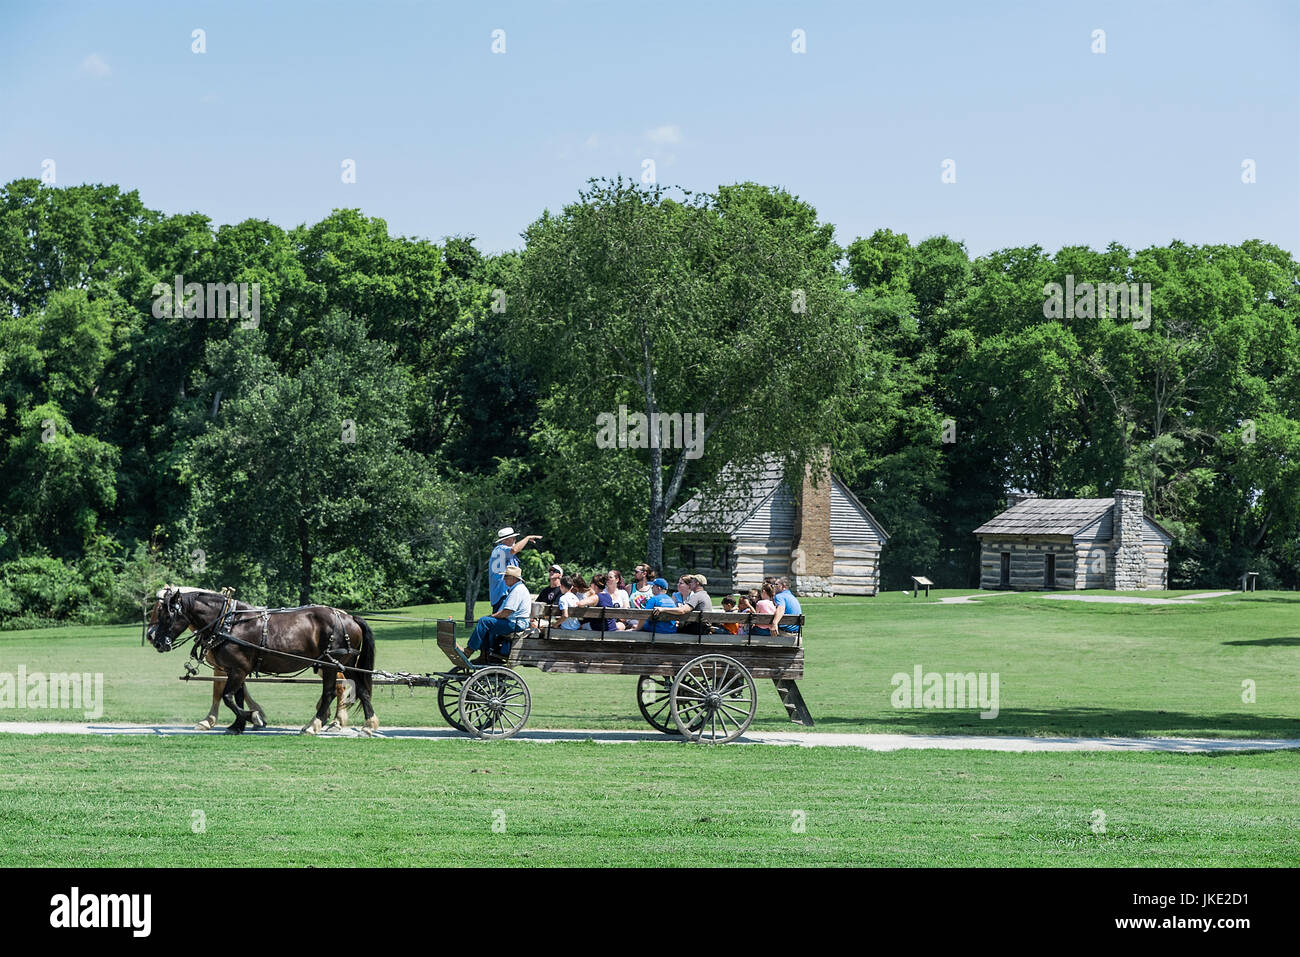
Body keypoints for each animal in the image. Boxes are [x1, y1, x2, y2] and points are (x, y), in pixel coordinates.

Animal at [150, 582, 379, 733]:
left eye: (166, 613)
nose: (154, 640)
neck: (228, 622)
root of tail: (349, 617)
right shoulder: (236, 669)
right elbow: (237, 696)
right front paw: (238, 725)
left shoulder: (238, 669)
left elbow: (227, 696)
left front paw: (253, 717)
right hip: (342, 664)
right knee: (356, 689)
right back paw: (365, 723)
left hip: (333, 664)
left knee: (334, 691)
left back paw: (318, 724)